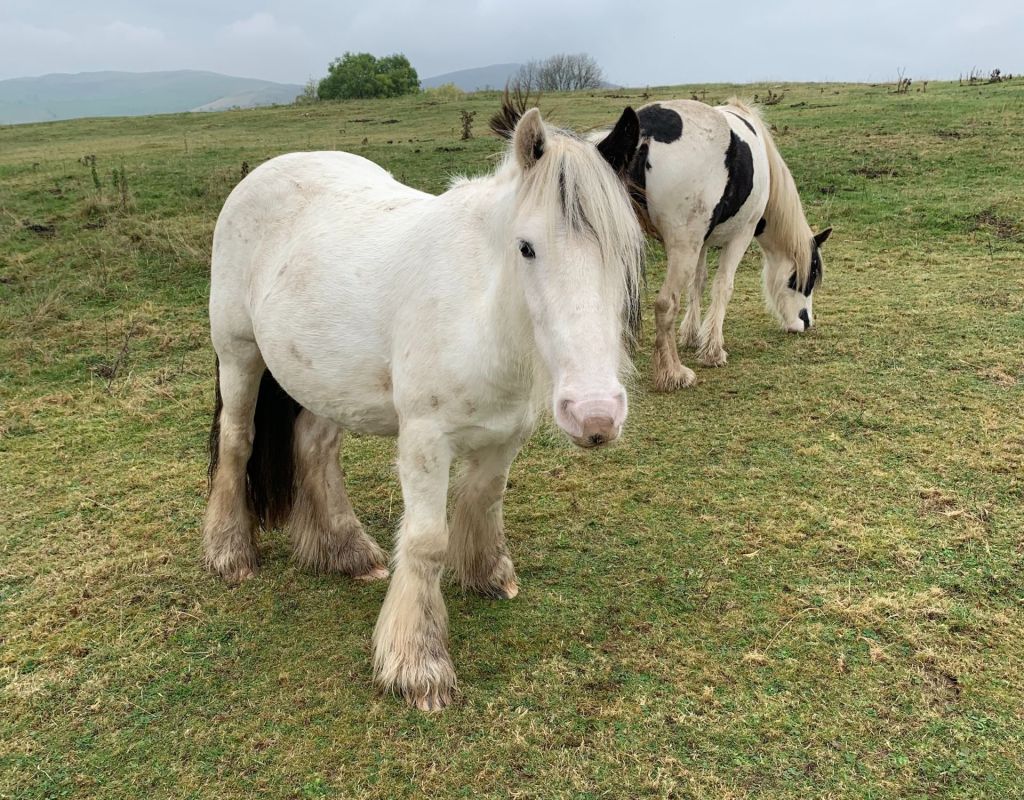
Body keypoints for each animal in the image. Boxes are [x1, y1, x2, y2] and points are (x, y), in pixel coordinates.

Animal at [203, 102, 643, 708]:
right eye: (526, 246)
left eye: (625, 251)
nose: (595, 414)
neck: (480, 311)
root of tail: (267, 170)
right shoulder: (425, 442)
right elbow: (428, 541)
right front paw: (418, 664)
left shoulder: (505, 434)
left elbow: (483, 500)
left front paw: (488, 574)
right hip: (239, 354)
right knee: (237, 441)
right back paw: (231, 554)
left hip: (322, 380)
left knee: (315, 449)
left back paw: (346, 551)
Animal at [602, 96, 827, 389]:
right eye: (809, 276)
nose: (806, 323)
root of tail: (645, 133)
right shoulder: (741, 235)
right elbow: (723, 287)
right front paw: (712, 350)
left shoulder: (703, 242)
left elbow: (698, 283)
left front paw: (691, 334)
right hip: (682, 248)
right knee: (665, 304)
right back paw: (673, 373)